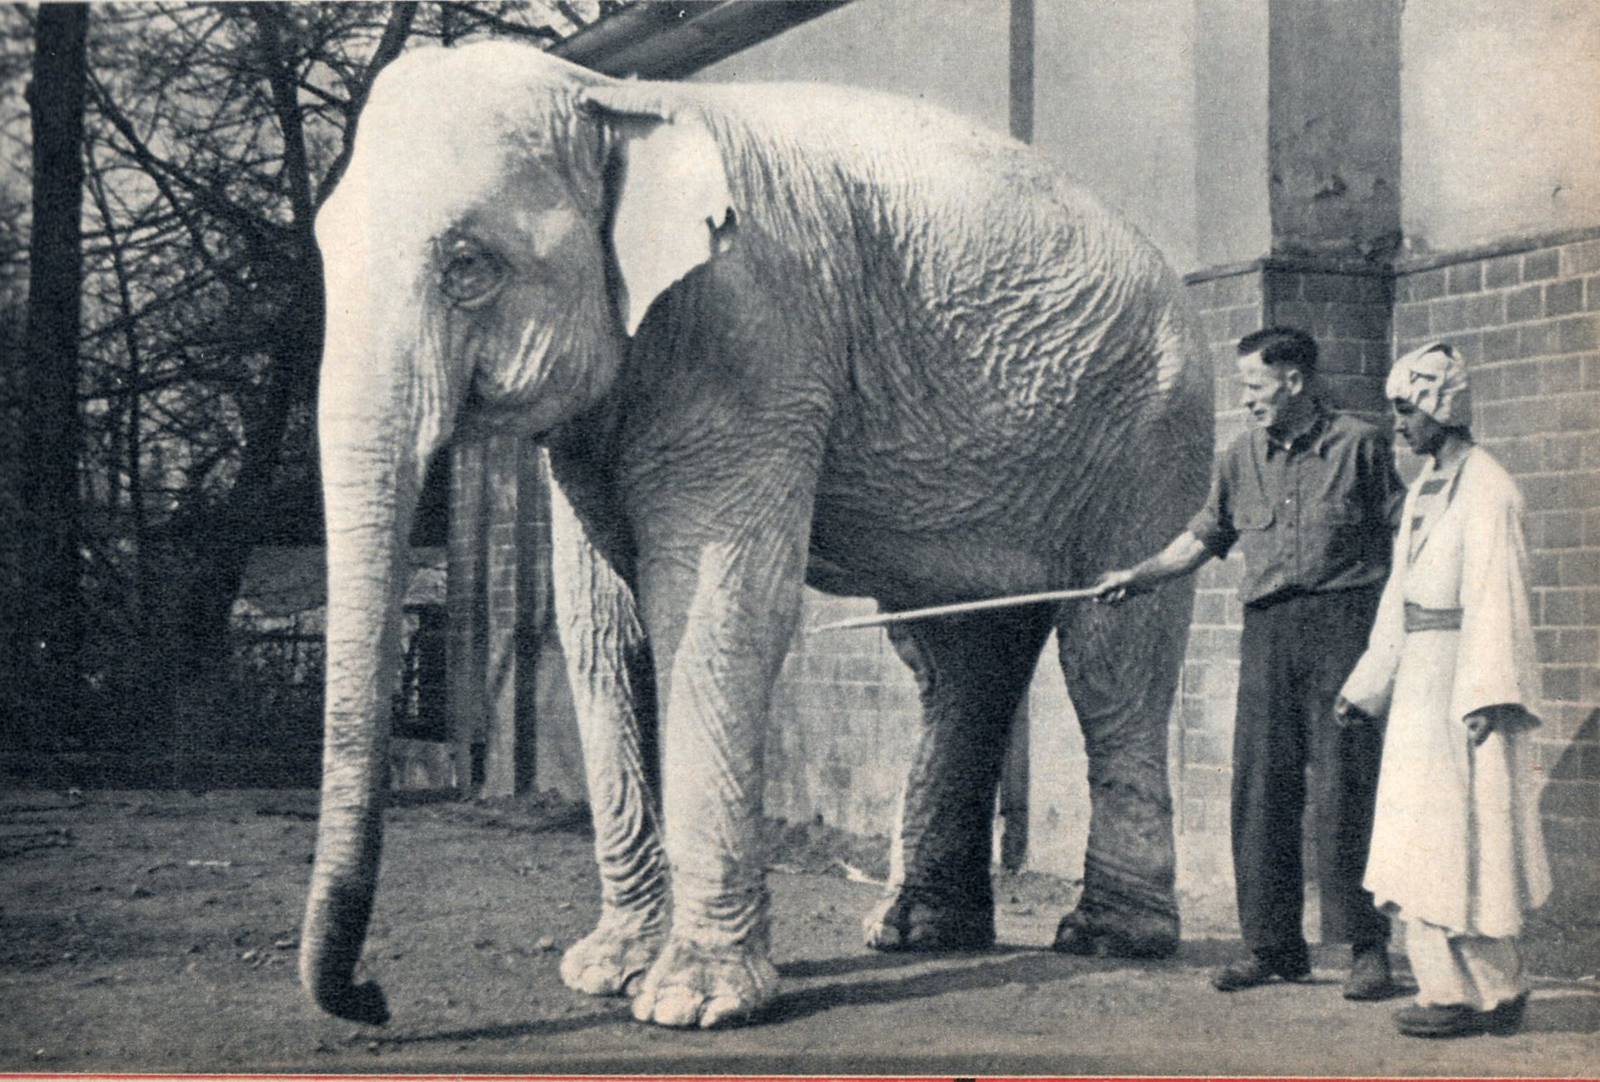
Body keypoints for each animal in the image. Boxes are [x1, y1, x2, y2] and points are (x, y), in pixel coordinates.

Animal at [301, 39, 1212, 1030]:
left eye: (468, 264)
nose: (372, 998)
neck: (611, 96)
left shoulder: (754, 337)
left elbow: (712, 612)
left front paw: (692, 1003)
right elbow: (601, 630)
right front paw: (605, 974)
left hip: (1151, 440)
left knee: (1111, 654)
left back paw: (1105, 938)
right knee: (955, 662)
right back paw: (915, 933)